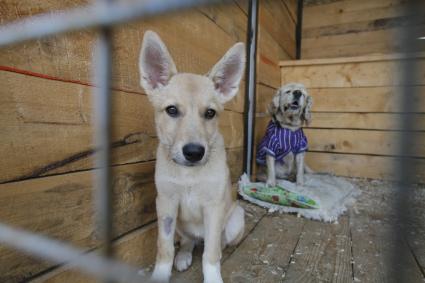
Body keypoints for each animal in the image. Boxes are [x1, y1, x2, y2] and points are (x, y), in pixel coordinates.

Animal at [139, 30, 245, 282]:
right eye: (171, 110)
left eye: (210, 113)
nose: (194, 153)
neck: (188, 174)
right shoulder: (166, 203)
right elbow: (164, 248)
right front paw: (161, 274)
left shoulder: (214, 207)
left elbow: (211, 254)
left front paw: (213, 278)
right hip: (180, 224)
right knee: (188, 242)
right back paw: (184, 256)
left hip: (236, 218)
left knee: (216, 243)